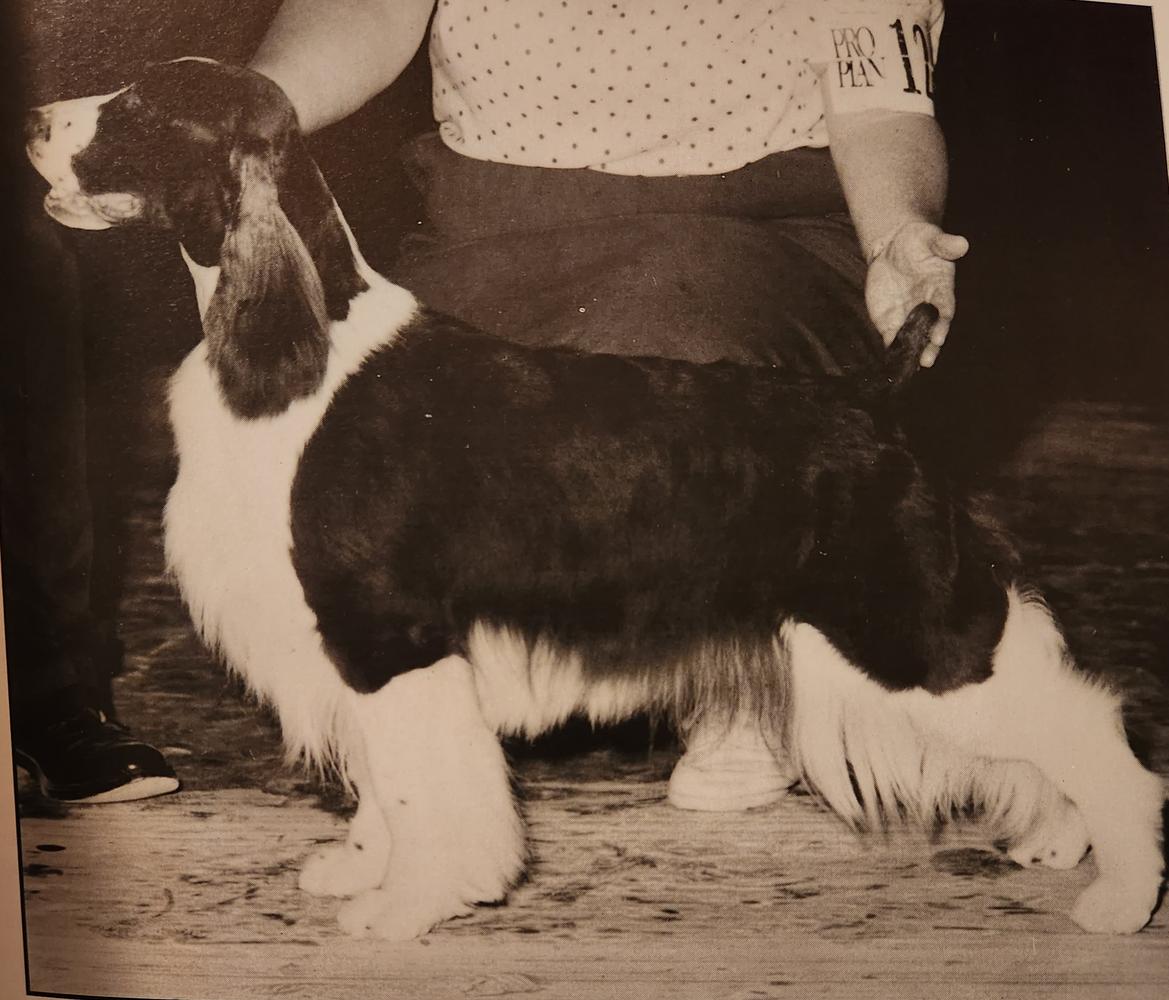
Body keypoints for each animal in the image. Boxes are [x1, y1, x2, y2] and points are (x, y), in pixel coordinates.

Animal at [25, 60, 1159, 940]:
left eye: (136, 109)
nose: (32, 119)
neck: (299, 353)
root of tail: (872, 392)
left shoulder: (388, 636)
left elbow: (422, 786)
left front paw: (405, 906)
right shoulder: (355, 650)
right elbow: (384, 784)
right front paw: (363, 868)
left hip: (912, 634)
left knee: (1096, 736)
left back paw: (1120, 897)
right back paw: (1059, 845)